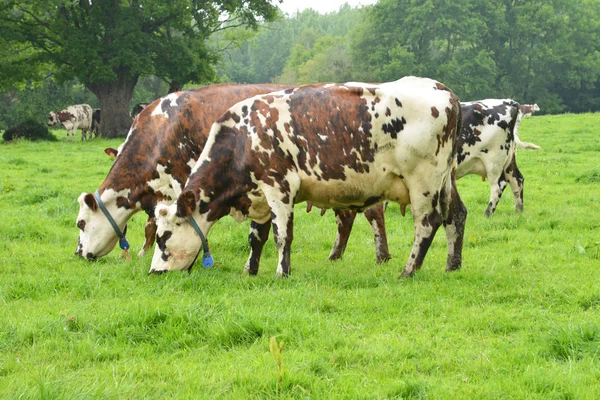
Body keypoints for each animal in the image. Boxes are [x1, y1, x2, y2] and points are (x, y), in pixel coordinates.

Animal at [75, 83, 288, 260]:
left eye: (81, 223)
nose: (77, 252)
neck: (161, 130)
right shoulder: (159, 194)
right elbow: (151, 225)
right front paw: (143, 252)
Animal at [149, 76, 464, 280]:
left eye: (163, 238)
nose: (153, 272)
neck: (242, 138)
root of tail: (445, 90)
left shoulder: (279, 186)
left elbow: (282, 235)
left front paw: (281, 273)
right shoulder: (259, 195)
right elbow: (256, 237)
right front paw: (250, 271)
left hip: (423, 181)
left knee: (427, 223)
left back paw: (408, 271)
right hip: (445, 180)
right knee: (456, 215)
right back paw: (452, 265)